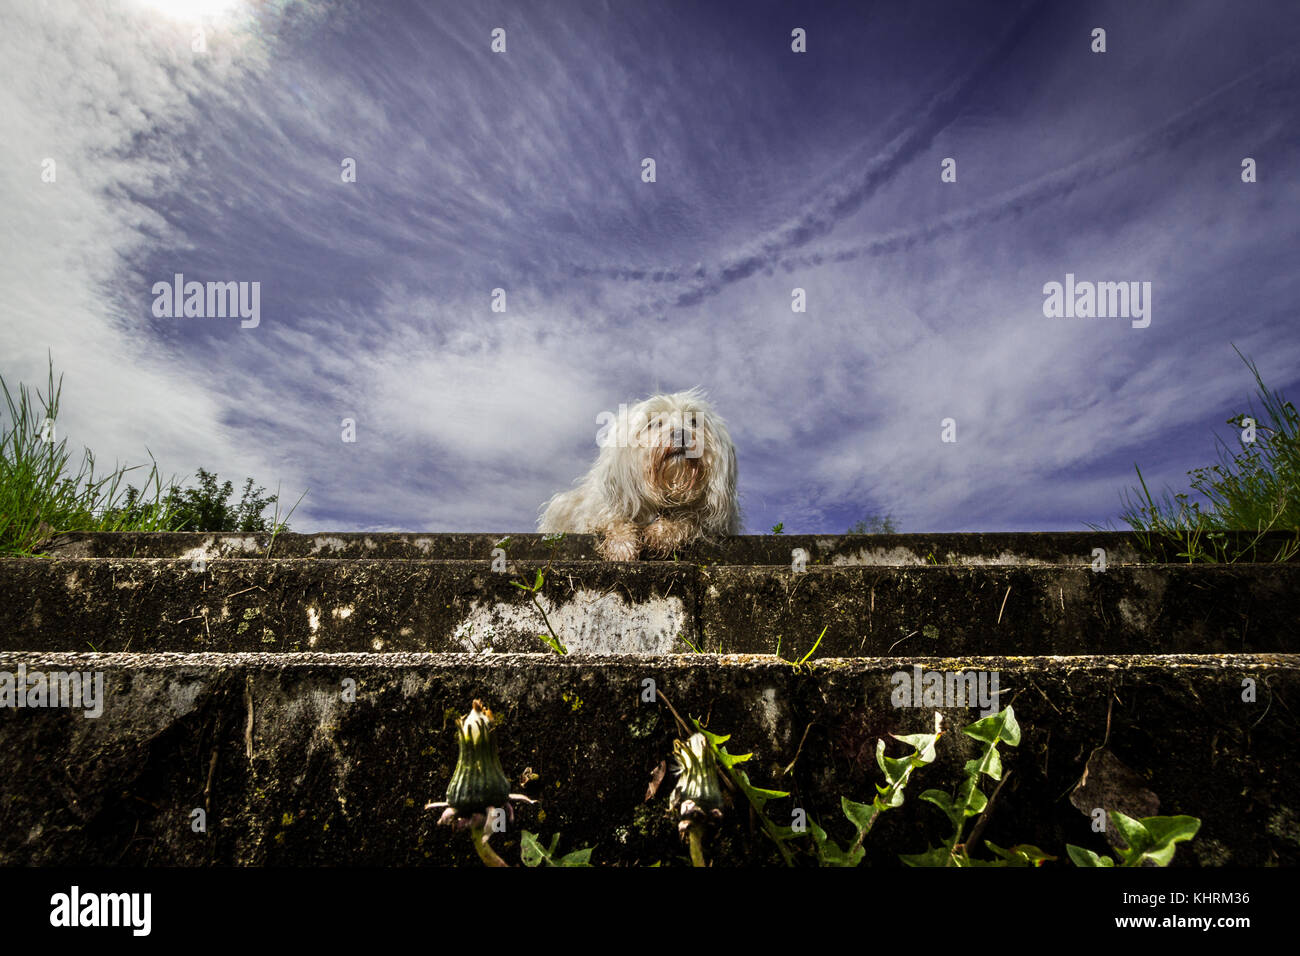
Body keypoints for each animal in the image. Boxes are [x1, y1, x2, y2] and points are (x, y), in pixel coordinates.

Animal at [538, 387, 743, 556]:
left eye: (694, 421)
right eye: (655, 423)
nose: (681, 434)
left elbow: (690, 519)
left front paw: (663, 532)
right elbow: (613, 519)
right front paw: (622, 544)